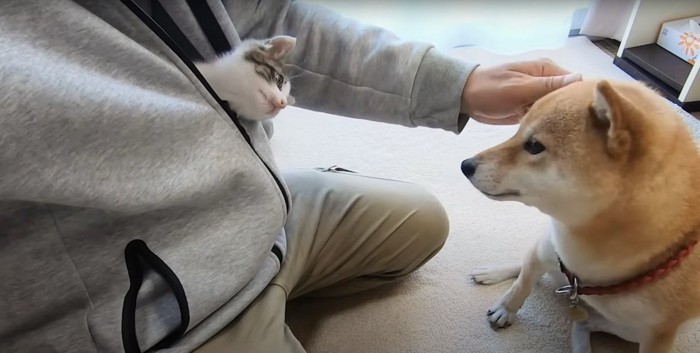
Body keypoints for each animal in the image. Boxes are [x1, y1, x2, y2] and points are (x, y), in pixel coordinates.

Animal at [464, 80, 700, 352]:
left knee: (582, 323)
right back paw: (491, 273)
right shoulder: (548, 246)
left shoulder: (657, 335)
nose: (465, 165)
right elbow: (521, 285)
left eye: (534, 146)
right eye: (516, 131)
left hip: (628, 329)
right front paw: (506, 309)